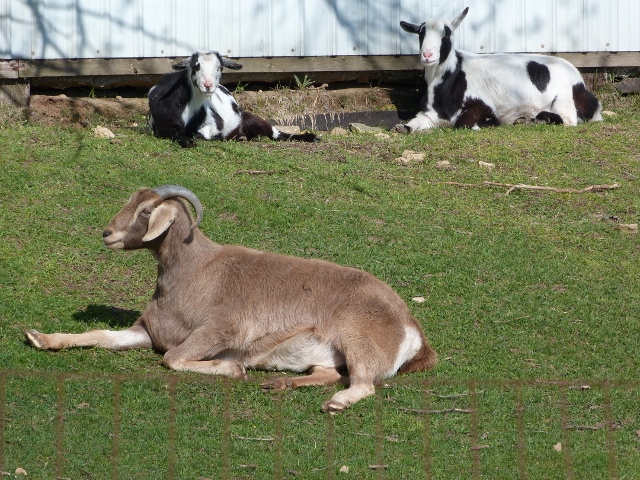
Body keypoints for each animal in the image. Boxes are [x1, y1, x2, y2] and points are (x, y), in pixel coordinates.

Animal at [25, 185, 436, 413]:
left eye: (147, 210)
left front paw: (231, 369)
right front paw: (40, 338)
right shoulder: (147, 331)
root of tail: (413, 332)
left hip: (358, 340)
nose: (108, 234)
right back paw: (280, 385)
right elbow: (102, 336)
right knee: (328, 373)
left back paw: (335, 403)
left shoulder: (222, 330)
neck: (195, 273)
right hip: (328, 356)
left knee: (363, 383)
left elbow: (174, 359)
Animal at [148, 51, 317, 147]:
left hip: (250, 117)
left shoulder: (215, 123)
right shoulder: (162, 125)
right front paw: (188, 141)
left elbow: (206, 134)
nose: (208, 85)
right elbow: (177, 133)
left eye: (220, 67)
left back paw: (310, 137)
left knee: (276, 133)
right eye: (196, 66)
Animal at [397, 7, 603, 132]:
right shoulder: (427, 114)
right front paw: (403, 128)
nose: (427, 55)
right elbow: (409, 126)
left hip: (563, 99)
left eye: (446, 34)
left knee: (570, 120)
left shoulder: (482, 105)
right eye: (420, 34)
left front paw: (486, 123)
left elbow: (462, 123)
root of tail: (581, 83)